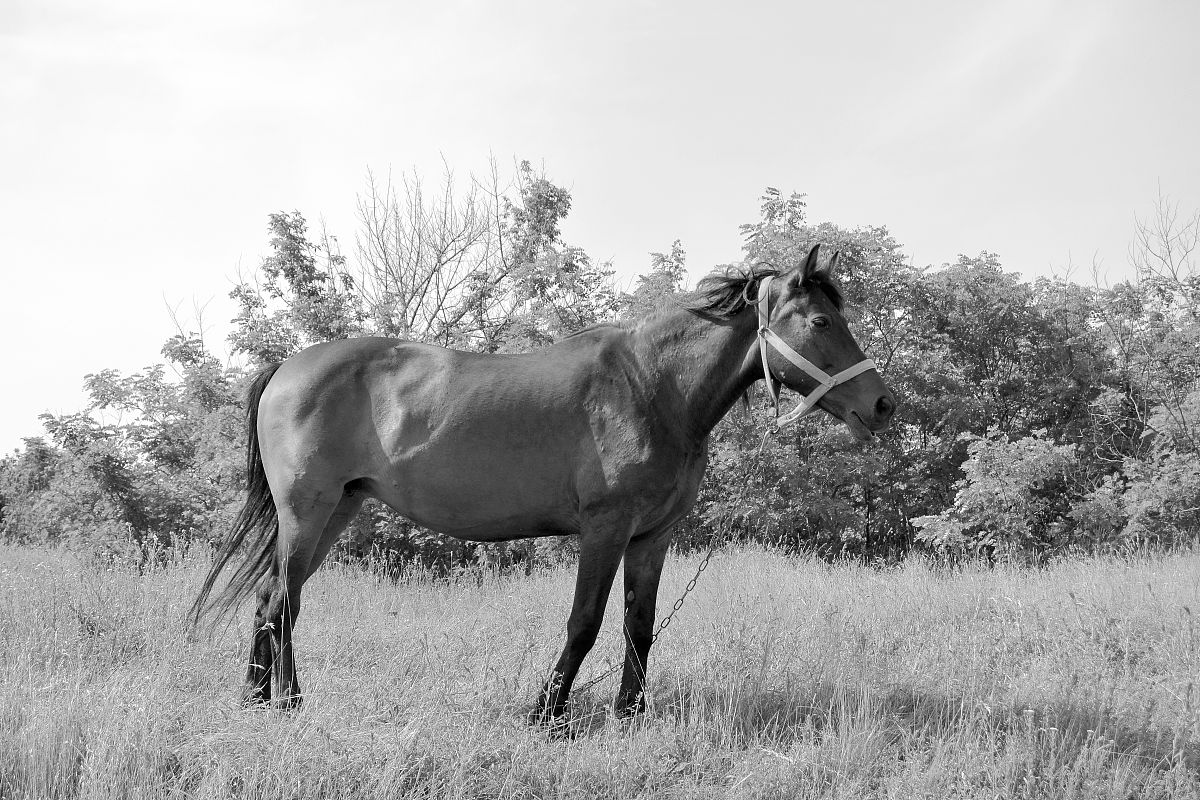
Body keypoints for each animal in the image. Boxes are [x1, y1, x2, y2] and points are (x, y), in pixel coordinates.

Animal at [190, 244, 895, 724]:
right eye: (821, 322)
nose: (884, 404)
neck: (653, 387)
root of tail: (288, 366)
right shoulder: (604, 530)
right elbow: (584, 622)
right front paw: (547, 715)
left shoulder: (651, 538)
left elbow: (638, 625)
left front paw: (630, 715)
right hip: (307, 515)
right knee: (282, 603)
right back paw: (283, 704)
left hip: (335, 511)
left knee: (272, 601)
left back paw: (262, 700)